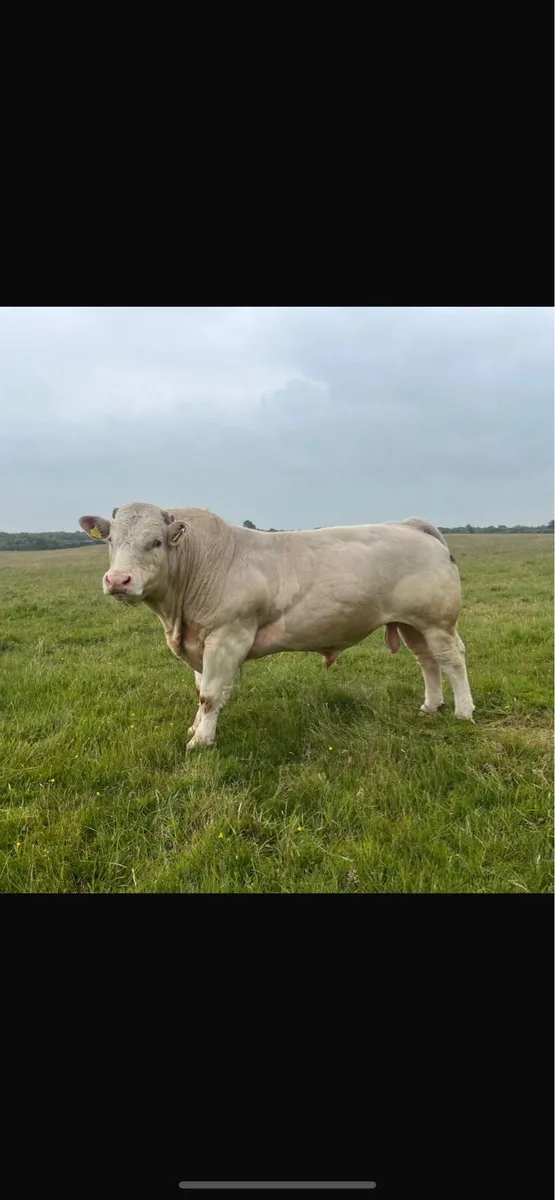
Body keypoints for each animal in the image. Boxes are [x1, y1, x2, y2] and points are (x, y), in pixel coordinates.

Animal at [79, 503, 475, 748]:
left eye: (156, 541)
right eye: (111, 540)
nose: (118, 580)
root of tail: (411, 525)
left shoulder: (227, 637)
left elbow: (210, 694)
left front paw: (201, 741)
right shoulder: (199, 641)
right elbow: (201, 691)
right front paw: (196, 726)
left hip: (437, 621)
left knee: (452, 660)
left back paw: (463, 711)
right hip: (411, 624)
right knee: (427, 661)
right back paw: (431, 706)